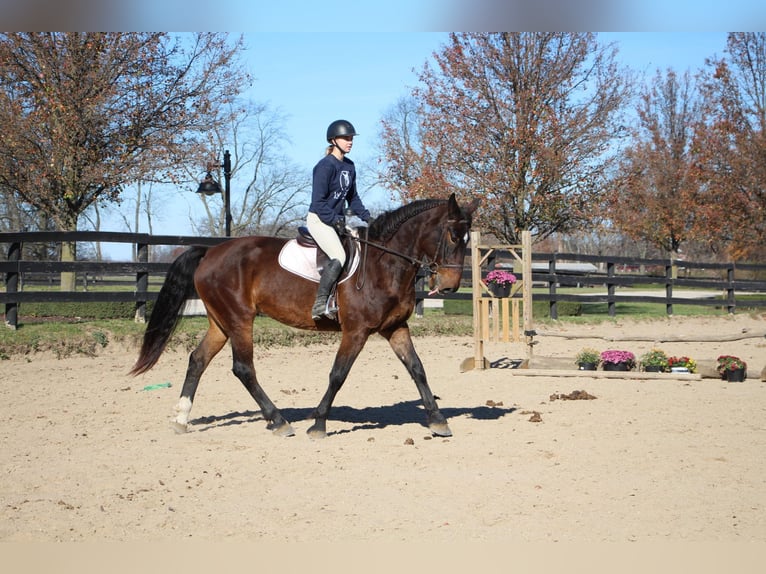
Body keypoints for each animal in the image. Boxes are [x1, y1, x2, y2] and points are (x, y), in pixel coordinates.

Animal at [132, 195, 480, 440]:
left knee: (198, 359)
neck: (384, 263)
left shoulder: (395, 327)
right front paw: (319, 423)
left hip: (221, 323)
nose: (450, 286)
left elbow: (417, 369)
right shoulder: (356, 331)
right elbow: (338, 374)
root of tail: (210, 252)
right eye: (452, 236)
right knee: (243, 368)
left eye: (467, 239)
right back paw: (279, 421)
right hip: (239, 320)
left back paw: (181, 419)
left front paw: (438, 420)